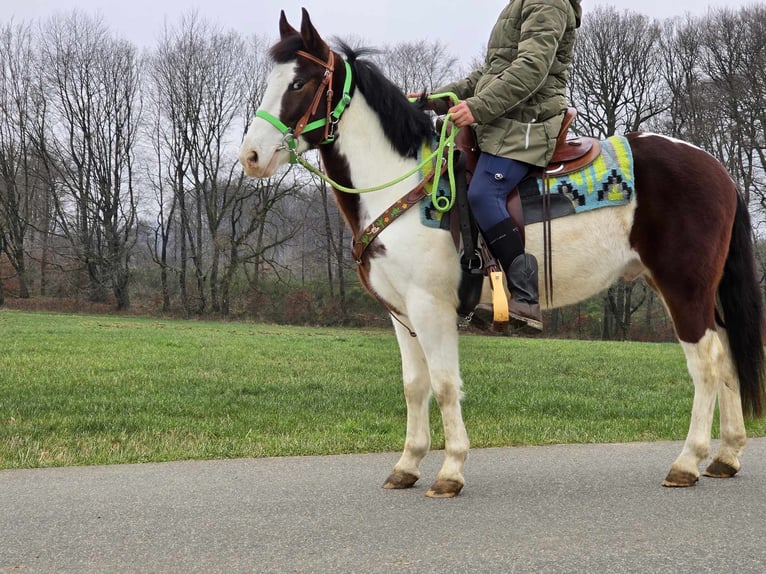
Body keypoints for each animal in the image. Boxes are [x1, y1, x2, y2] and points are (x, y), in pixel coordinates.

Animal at [238, 9, 760, 500]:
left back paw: (687, 462)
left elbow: (445, 385)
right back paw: (726, 456)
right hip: (699, 291)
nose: (251, 156)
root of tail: (717, 168)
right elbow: (415, 386)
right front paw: (407, 465)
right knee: (729, 357)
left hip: (683, 287)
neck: (407, 183)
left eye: (300, 83)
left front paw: (450, 471)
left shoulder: (431, 308)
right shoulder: (402, 314)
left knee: (707, 363)